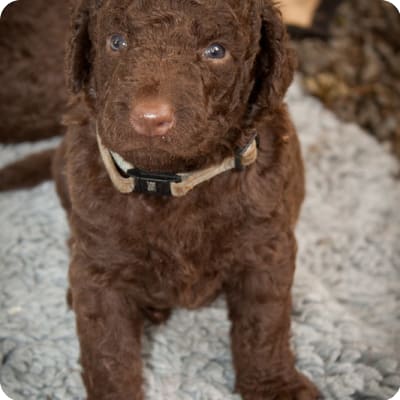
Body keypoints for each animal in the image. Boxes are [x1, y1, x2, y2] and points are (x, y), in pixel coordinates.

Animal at [53, 0, 318, 398]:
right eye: (116, 42)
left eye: (216, 51)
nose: (150, 118)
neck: (170, 181)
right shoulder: (99, 265)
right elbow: (107, 349)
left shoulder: (266, 249)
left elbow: (264, 325)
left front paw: (276, 385)